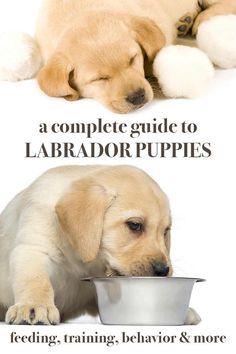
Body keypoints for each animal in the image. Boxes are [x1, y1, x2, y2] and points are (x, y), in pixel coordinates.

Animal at [0, 165, 199, 324]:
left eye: (165, 231)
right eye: (135, 225)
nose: (163, 270)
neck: (85, 260)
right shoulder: (32, 248)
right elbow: (35, 280)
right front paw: (33, 305)